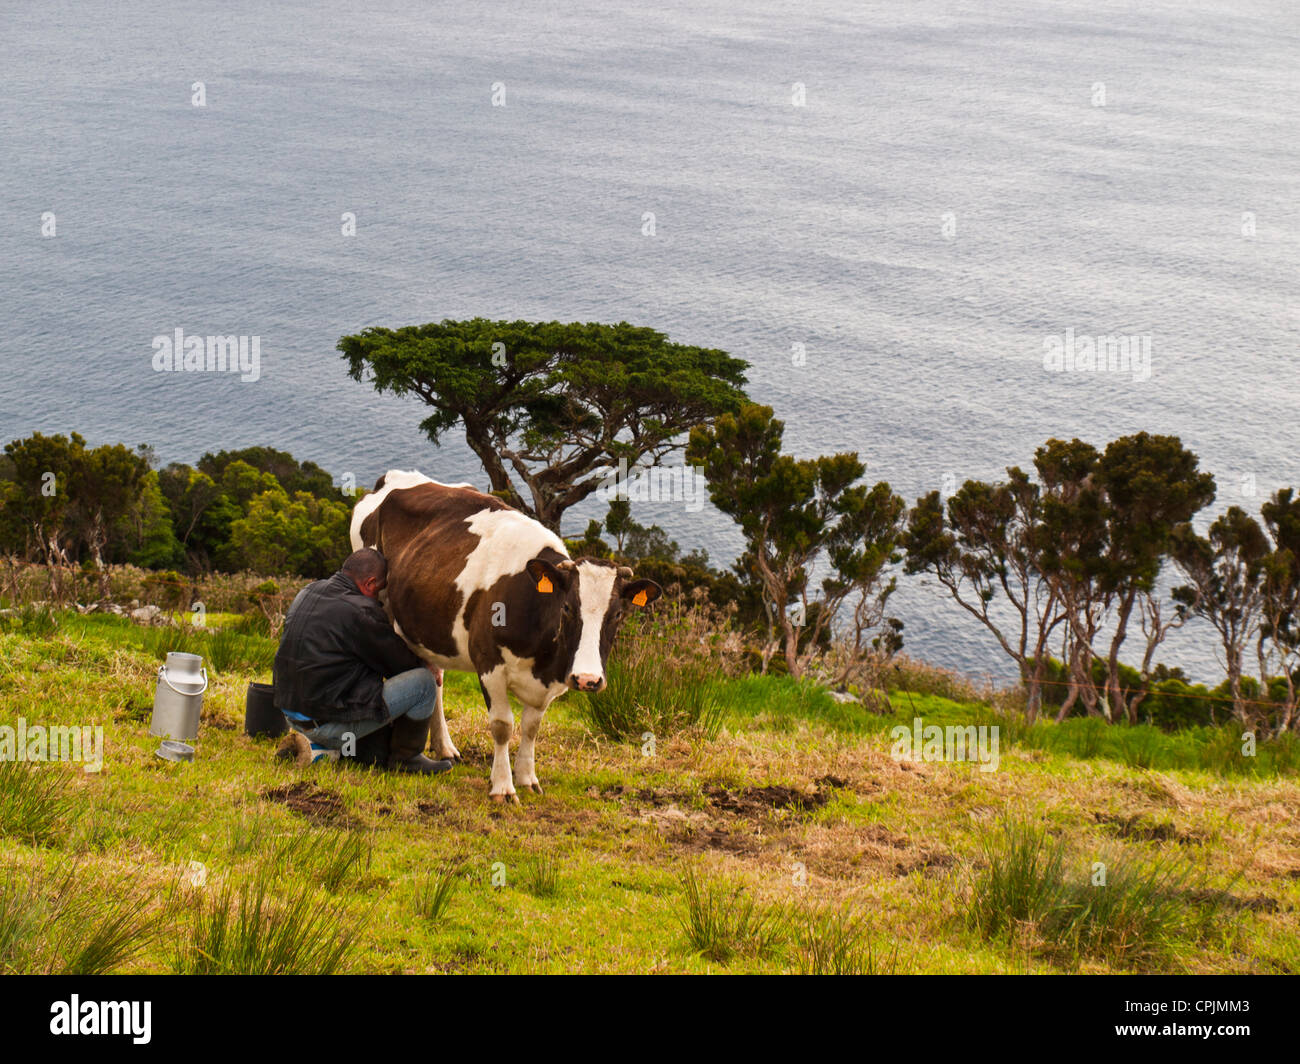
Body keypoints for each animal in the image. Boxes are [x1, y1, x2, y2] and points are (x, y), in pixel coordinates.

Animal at [350, 469, 662, 802]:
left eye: (617, 614)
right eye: (566, 607)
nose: (587, 679)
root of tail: (397, 476)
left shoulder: (549, 681)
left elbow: (531, 727)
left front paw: (527, 778)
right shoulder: (489, 663)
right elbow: (502, 725)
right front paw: (502, 786)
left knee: (435, 678)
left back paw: (444, 746)